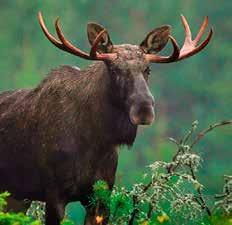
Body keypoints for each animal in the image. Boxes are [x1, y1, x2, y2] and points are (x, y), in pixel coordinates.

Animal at [0, 12, 212, 225]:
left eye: (148, 69)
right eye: (114, 70)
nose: (144, 109)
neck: (94, 141)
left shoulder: (101, 195)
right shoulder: (54, 194)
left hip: (18, 197)